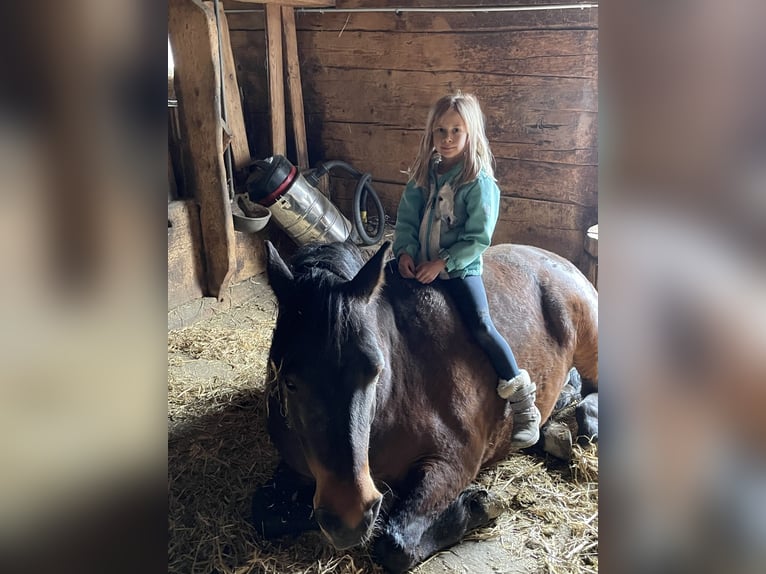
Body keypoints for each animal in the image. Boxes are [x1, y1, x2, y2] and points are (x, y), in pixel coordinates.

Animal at [252, 241, 600, 572]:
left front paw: (479, 505)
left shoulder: (453, 461)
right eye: (290, 382)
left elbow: (395, 544)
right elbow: (264, 515)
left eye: (374, 371)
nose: (348, 516)